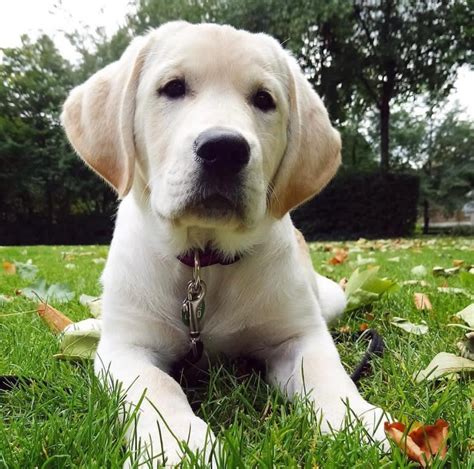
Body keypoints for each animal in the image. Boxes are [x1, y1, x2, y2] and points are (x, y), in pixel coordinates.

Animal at [61, 21, 386, 464]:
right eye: (173, 87)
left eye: (264, 99)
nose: (225, 149)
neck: (204, 260)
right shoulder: (126, 350)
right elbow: (157, 386)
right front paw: (179, 446)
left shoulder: (297, 337)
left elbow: (326, 372)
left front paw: (356, 420)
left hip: (331, 298)